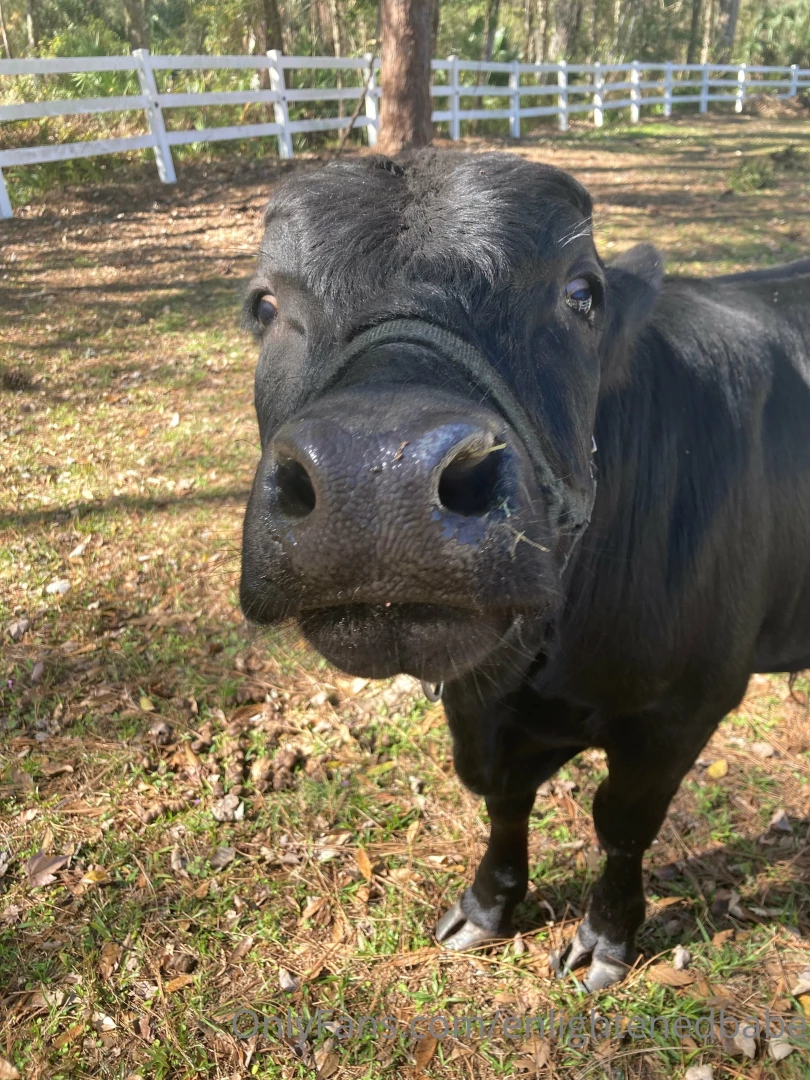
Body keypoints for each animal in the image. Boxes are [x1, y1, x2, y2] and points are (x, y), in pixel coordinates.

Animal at [240, 150, 810, 992]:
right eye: (266, 303)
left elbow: (623, 822)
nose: (376, 474)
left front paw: (606, 936)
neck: (538, 666)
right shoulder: (479, 710)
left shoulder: (686, 705)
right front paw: (487, 907)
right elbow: (502, 799)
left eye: (582, 294)